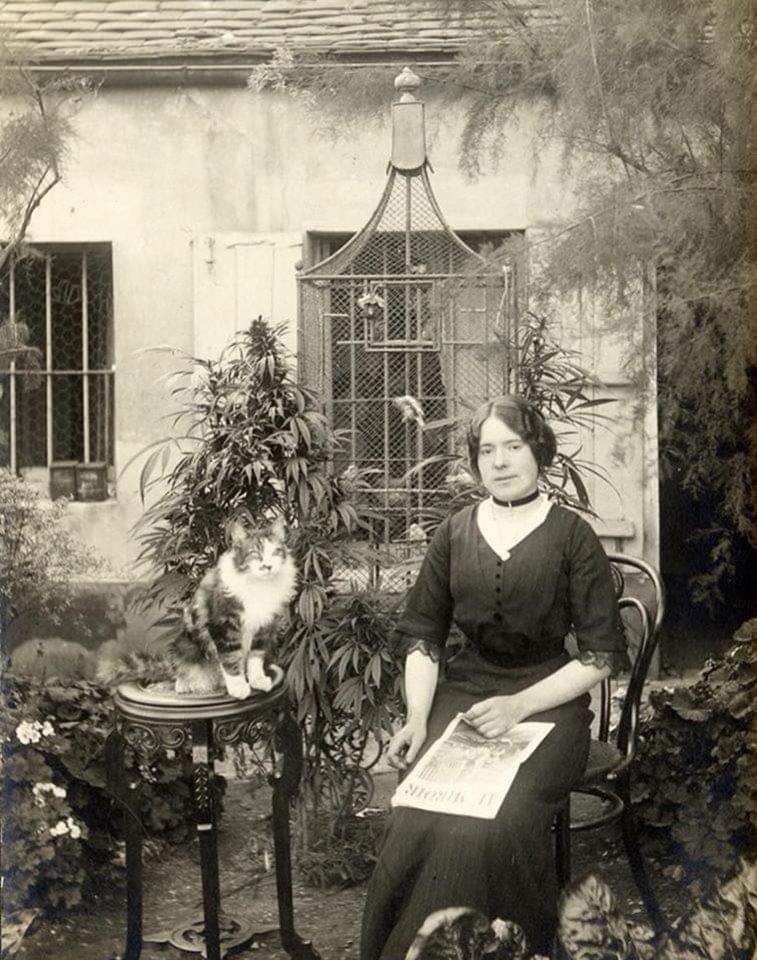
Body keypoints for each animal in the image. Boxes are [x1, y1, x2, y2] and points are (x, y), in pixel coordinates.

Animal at [102, 516, 296, 696]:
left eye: (276, 552)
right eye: (254, 553)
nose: (267, 566)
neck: (259, 585)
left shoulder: (264, 626)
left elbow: (256, 656)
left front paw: (257, 680)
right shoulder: (223, 625)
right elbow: (230, 658)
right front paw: (238, 687)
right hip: (185, 645)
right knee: (182, 674)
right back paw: (188, 684)